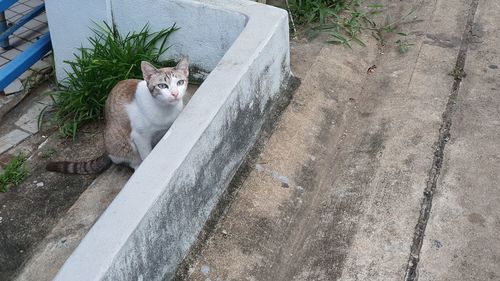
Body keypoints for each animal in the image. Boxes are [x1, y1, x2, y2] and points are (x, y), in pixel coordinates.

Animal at [47, 55, 189, 173]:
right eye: (162, 86)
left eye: (180, 83)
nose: (175, 94)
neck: (165, 109)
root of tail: (106, 149)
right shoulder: (140, 137)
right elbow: (146, 155)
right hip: (122, 144)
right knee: (131, 159)